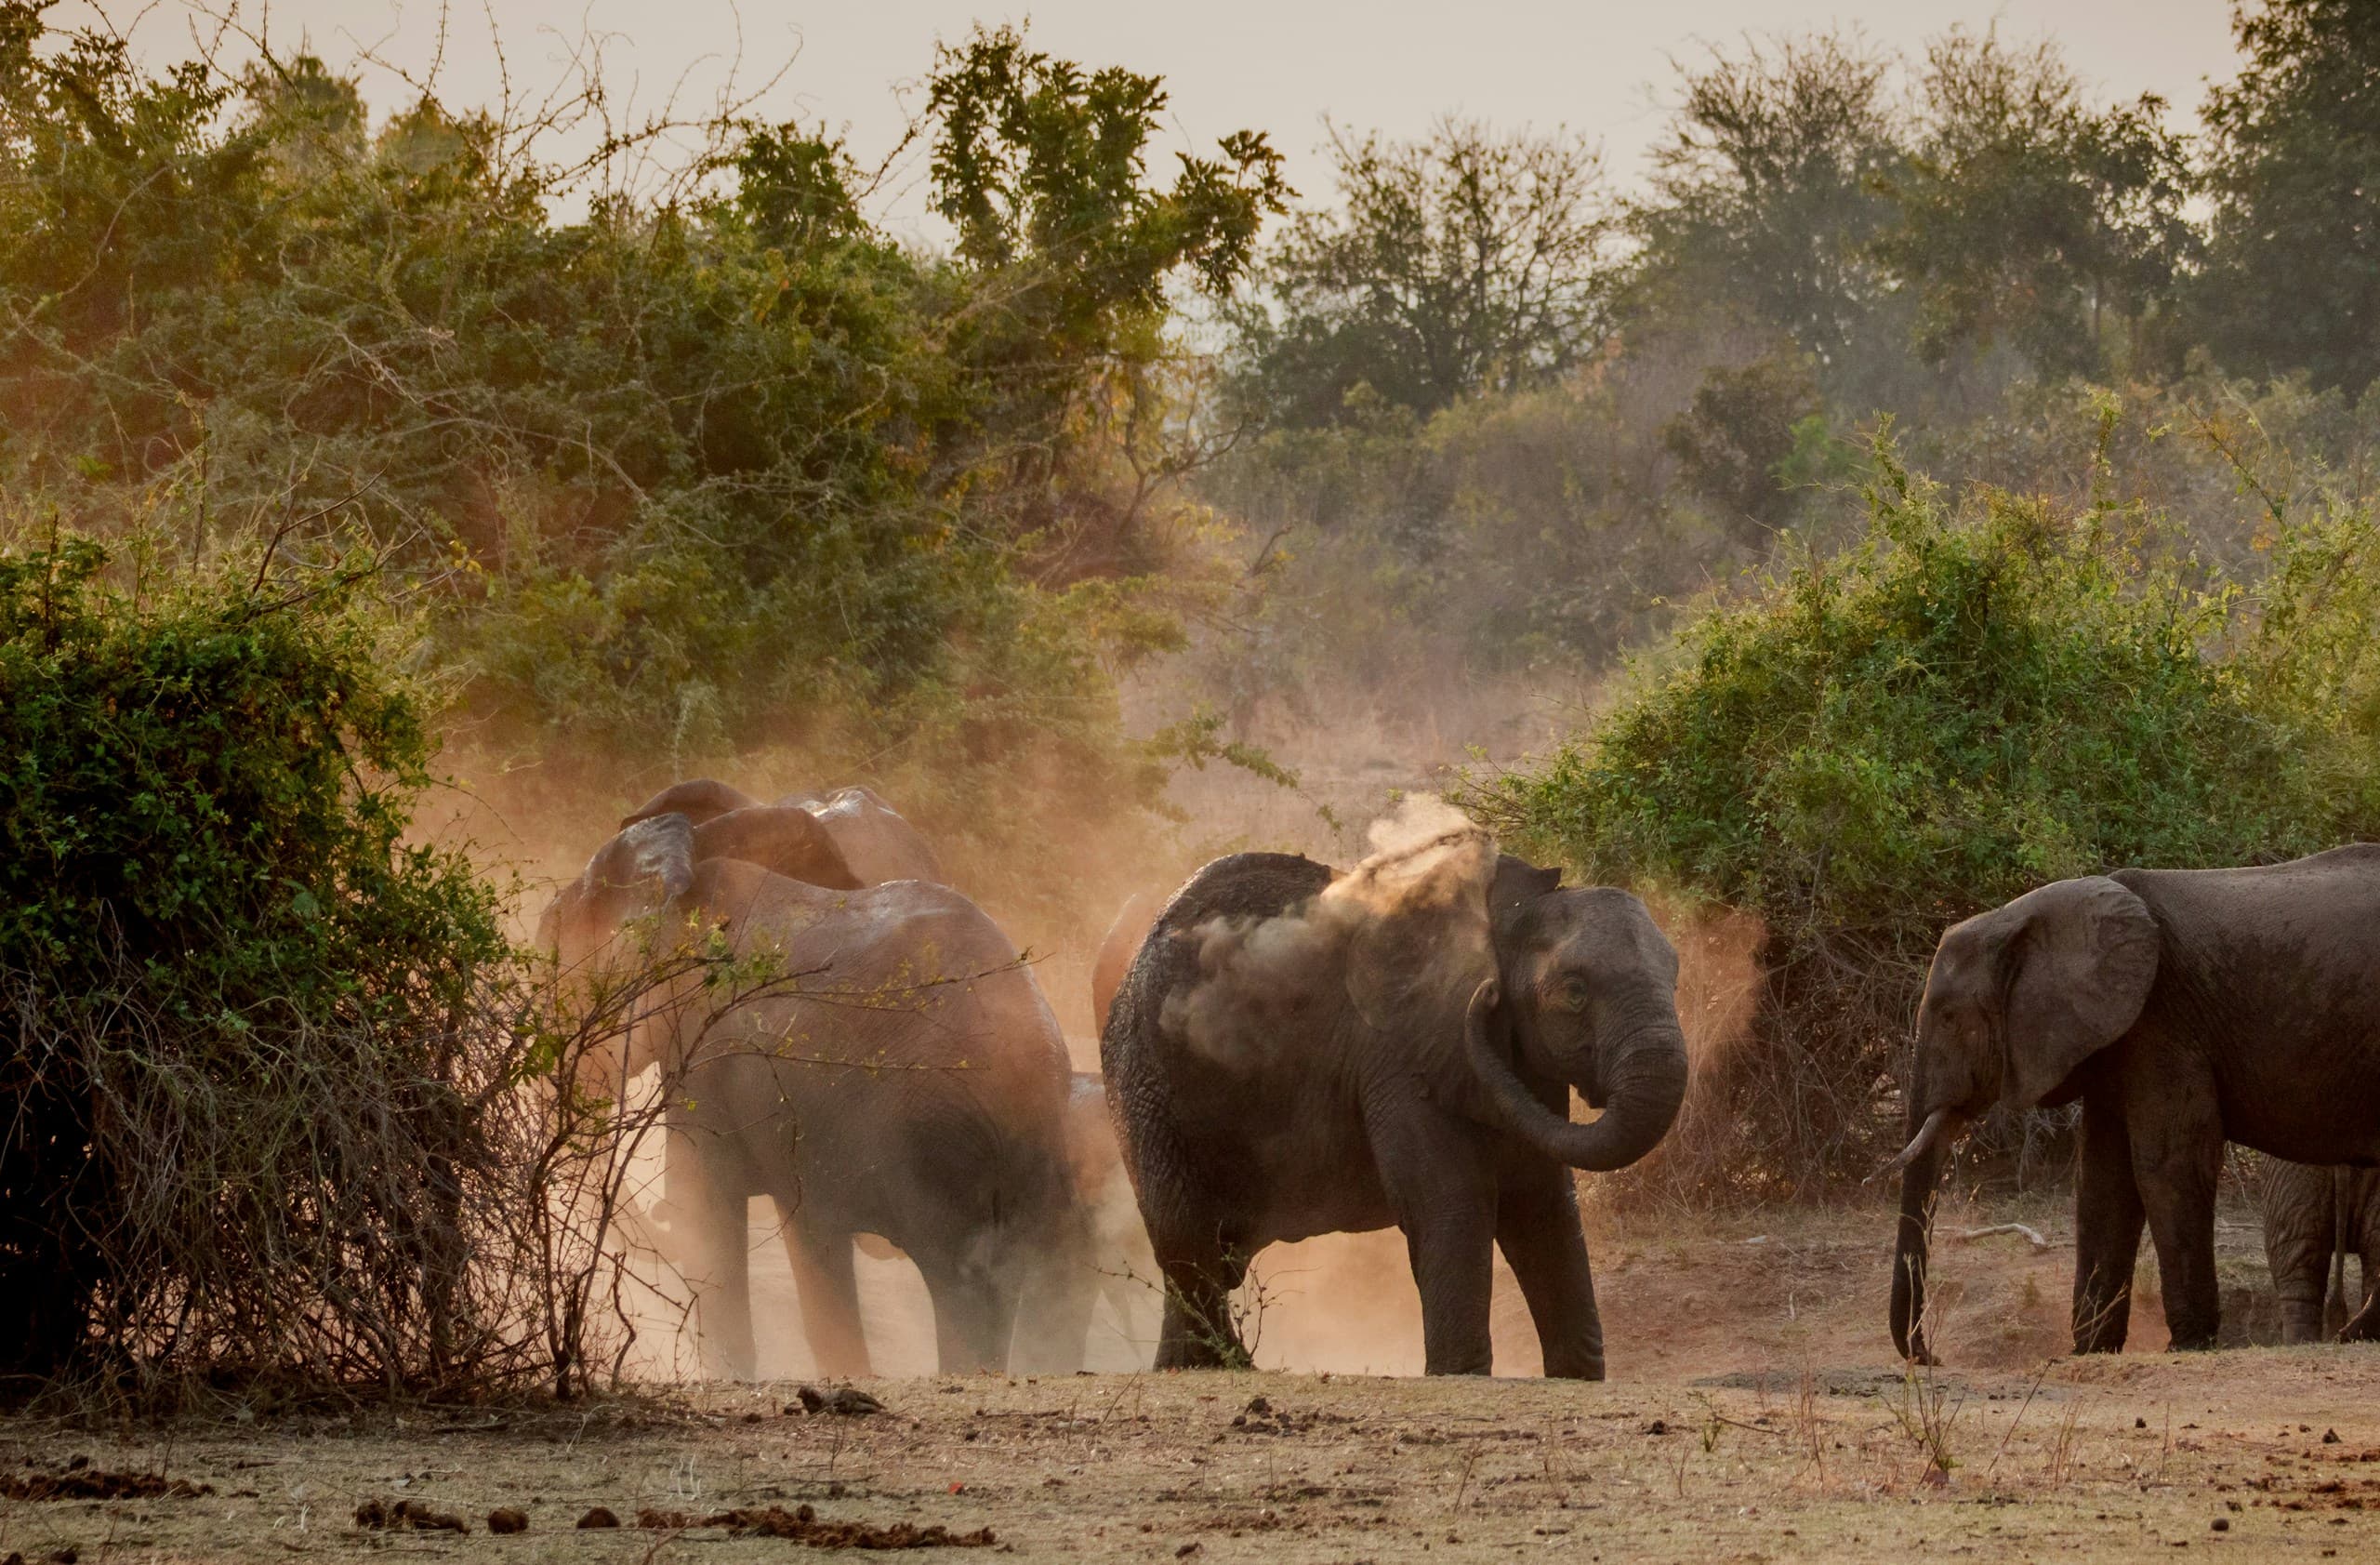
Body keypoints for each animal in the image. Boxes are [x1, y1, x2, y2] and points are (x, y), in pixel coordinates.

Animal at [542, 804, 1091, 1379]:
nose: (655, 1217)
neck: (685, 863)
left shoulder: (704, 1049)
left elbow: (707, 1205)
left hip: (933, 1143)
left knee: (955, 1278)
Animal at [1101, 827, 1689, 1378]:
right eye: (1574, 992)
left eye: (1676, 978)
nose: (1487, 995)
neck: (1507, 913)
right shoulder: (1401, 1051)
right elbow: (1447, 1197)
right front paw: (1460, 1376)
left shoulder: (1523, 1066)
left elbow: (1543, 1204)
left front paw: (1576, 1377)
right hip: (1145, 1081)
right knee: (1184, 1235)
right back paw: (1226, 1366)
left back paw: (1192, 1367)